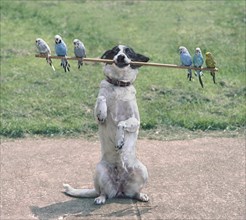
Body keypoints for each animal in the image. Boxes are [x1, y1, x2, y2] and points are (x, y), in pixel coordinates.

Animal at [63, 44, 150, 205]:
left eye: (128, 52)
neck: (119, 85)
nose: (121, 57)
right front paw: (103, 111)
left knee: (134, 193)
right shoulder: (99, 115)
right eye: (115, 51)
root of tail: (120, 189)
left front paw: (119, 140)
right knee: (104, 192)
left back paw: (141, 196)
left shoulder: (136, 121)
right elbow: (101, 98)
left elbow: (122, 122)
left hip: (143, 170)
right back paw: (100, 198)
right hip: (100, 170)